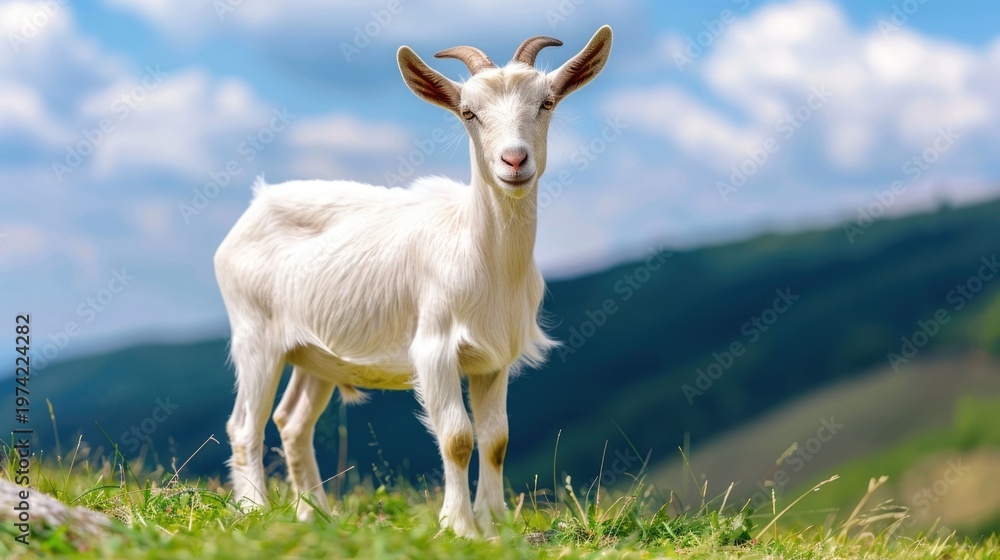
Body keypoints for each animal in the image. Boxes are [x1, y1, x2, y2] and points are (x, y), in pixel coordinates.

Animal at [214, 26, 612, 537]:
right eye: (469, 112)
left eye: (546, 103)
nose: (514, 160)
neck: (482, 258)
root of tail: (255, 205)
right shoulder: (435, 349)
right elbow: (458, 437)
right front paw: (459, 525)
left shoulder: (494, 359)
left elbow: (496, 438)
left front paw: (494, 524)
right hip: (255, 335)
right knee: (245, 424)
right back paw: (255, 511)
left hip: (314, 355)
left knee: (292, 421)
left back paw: (315, 515)